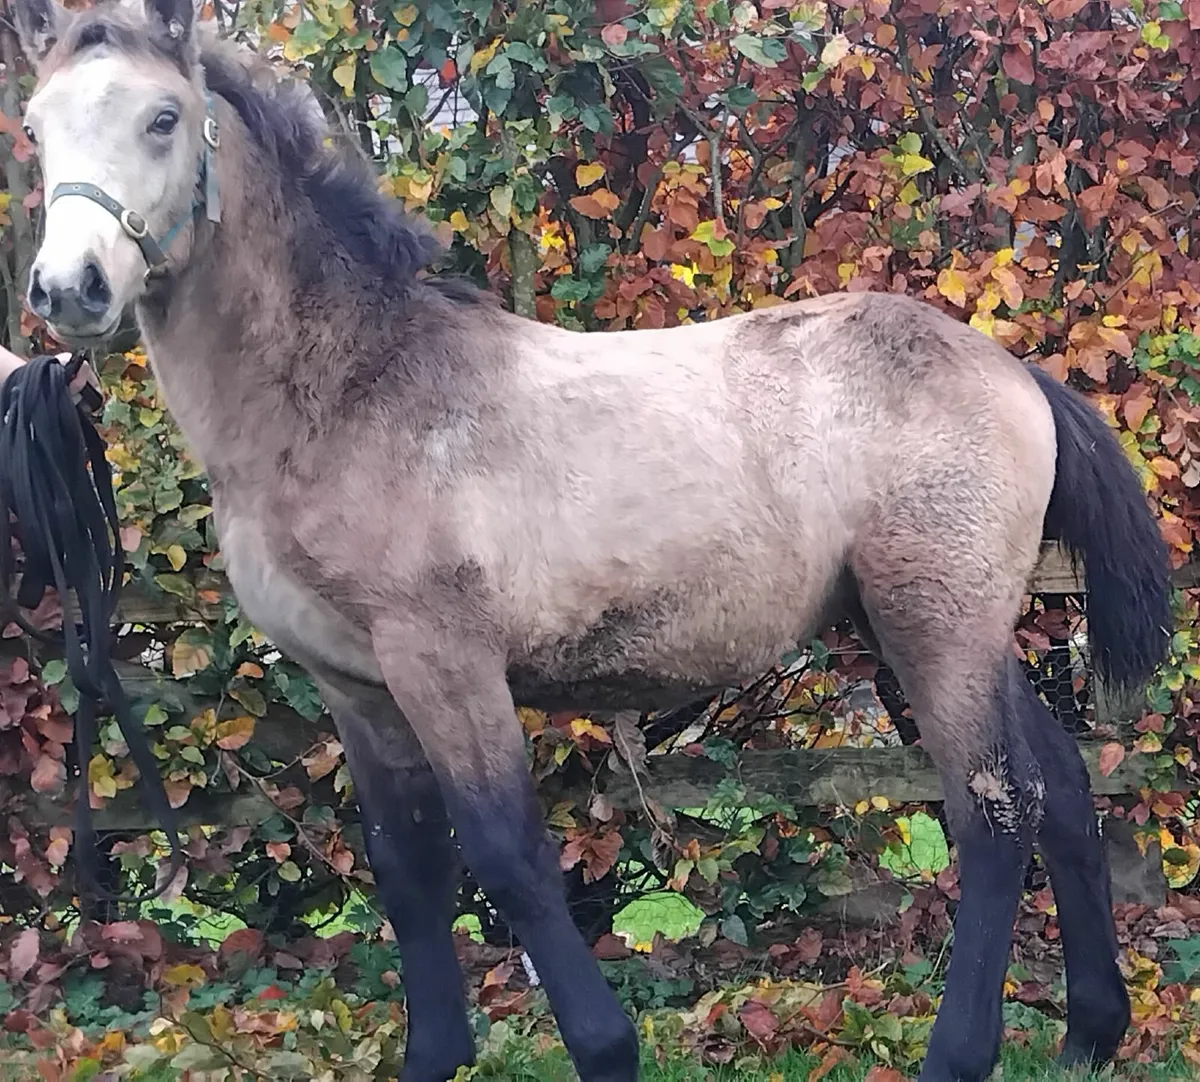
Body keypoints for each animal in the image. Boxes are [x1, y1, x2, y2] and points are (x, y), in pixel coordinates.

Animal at [11, 1, 1171, 1078]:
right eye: (34, 125)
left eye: (164, 118)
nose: (69, 289)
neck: (349, 392)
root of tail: (1012, 370)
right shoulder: (355, 687)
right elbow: (407, 869)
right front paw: (437, 1054)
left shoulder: (446, 662)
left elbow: (509, 856)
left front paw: (606, 1049)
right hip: (952, 631)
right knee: (1064, 790)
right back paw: (1089, 1032)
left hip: (935, 627)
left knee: (996, 813)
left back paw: (959, 1053)